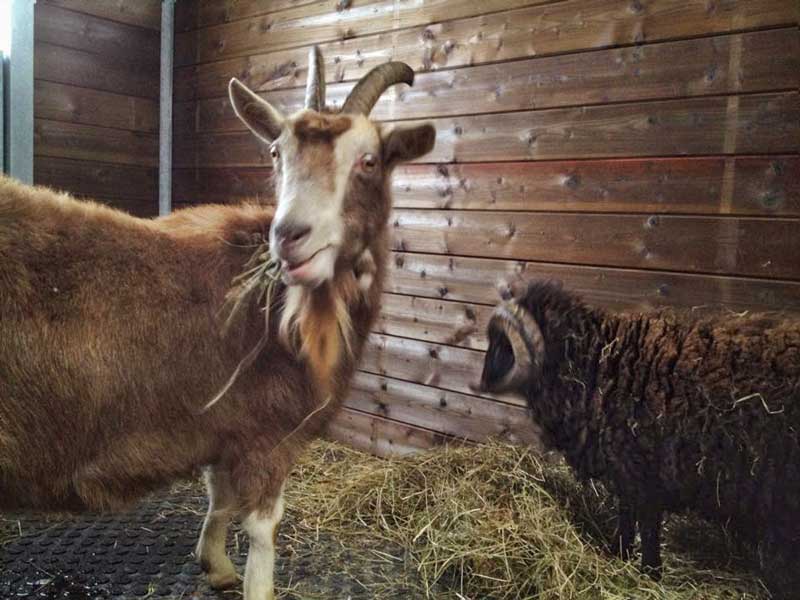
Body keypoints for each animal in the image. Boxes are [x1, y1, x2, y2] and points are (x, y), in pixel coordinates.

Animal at [0, 46, 435, 600]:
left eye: (370, 159)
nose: (289, 234)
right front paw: (254, 584)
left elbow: (219, 497)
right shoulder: (267, 431)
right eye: (276, 152)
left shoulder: (223, 426)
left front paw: (216, 564)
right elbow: (263, 527)